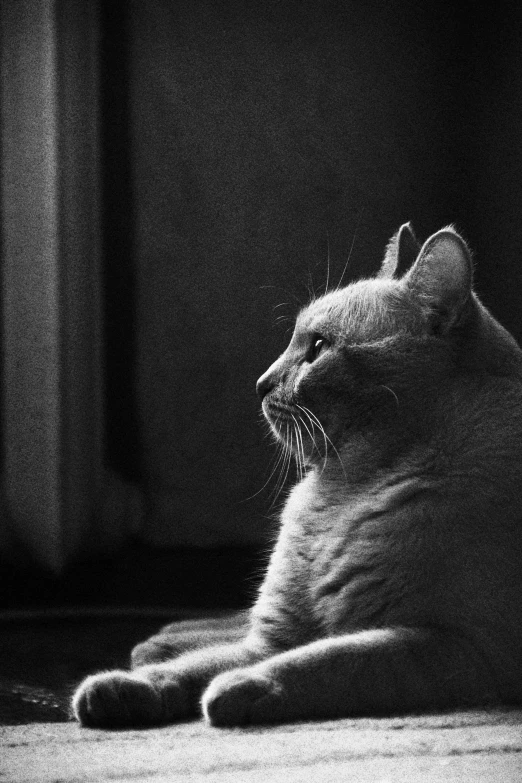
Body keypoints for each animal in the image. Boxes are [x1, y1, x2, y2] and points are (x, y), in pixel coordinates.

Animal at [72, 225, 520, 728]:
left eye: (319, 348)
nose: (260, 384)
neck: (346, 487)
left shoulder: (452, 644)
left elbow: (330, 660)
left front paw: (241, 689)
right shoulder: (273, 638)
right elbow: (193, 668)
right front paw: (118, 689)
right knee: (223, 626)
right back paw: (157, 642)